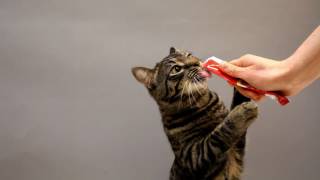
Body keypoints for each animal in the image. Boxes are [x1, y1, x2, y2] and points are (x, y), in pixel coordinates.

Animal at [131, 47, 258, 180]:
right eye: (177, 69)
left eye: (189, 55)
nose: (196, 63)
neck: (201, 101)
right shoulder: (193, 157)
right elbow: (219, 134)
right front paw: (242, 113)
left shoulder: (237, 152)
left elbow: (239, 99)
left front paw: (241, 78)